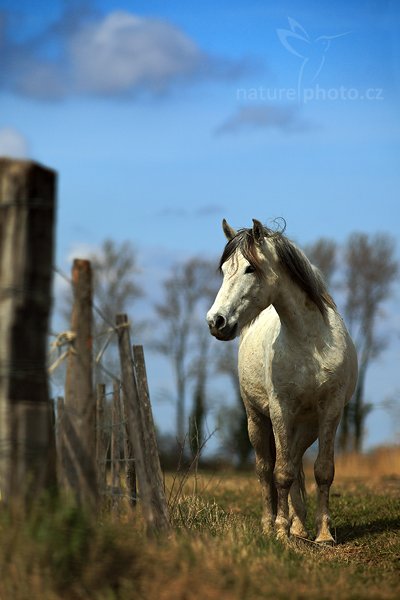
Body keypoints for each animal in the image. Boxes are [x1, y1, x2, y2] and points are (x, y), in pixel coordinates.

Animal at [208, 219, 358, 544]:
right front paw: (279, 530)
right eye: (224, 269)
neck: (310, 343)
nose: (216, 322)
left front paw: (323, 535)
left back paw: (300, 528)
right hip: (257, 419)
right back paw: (272, 525)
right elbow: (281, 473)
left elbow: (322, 470)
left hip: (307, 425)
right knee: (266, 469)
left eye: (250, 268)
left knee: (298, 463)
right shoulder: (280, 410)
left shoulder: (330, 411)